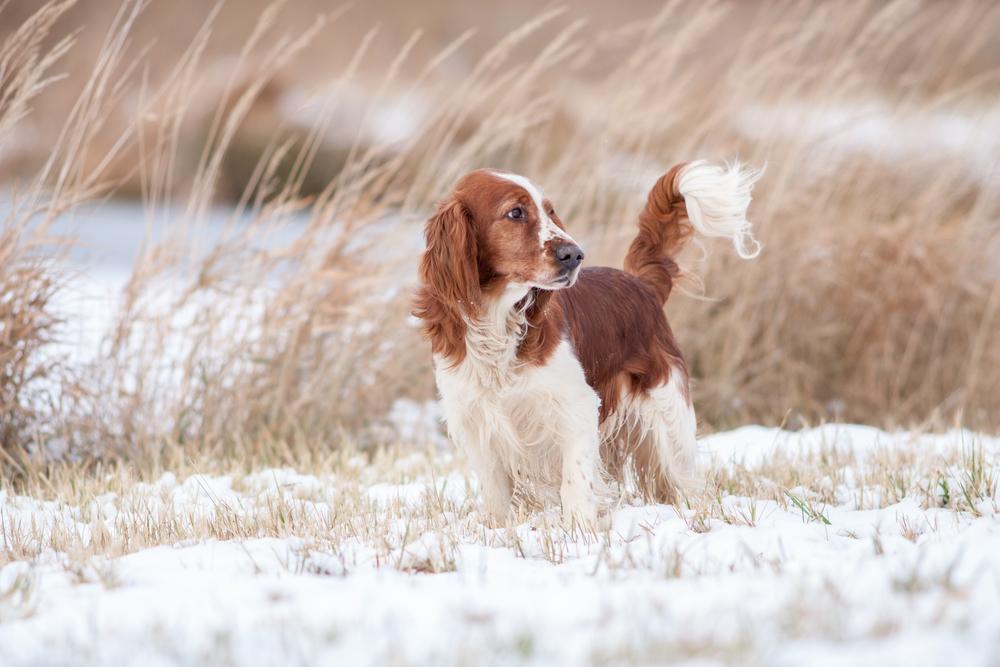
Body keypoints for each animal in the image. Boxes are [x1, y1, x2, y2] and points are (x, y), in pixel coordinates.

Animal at [412, 160, 756, 528]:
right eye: (515, 212)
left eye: (550, 211)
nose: (574, 254)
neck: (498, 322)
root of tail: (640, 284)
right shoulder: (474, 418)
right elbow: (495, 491)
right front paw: (496, 528)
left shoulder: (576, 407)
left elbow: (574, 479)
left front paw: (581, 528)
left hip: (668, 417)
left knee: (682, 477)